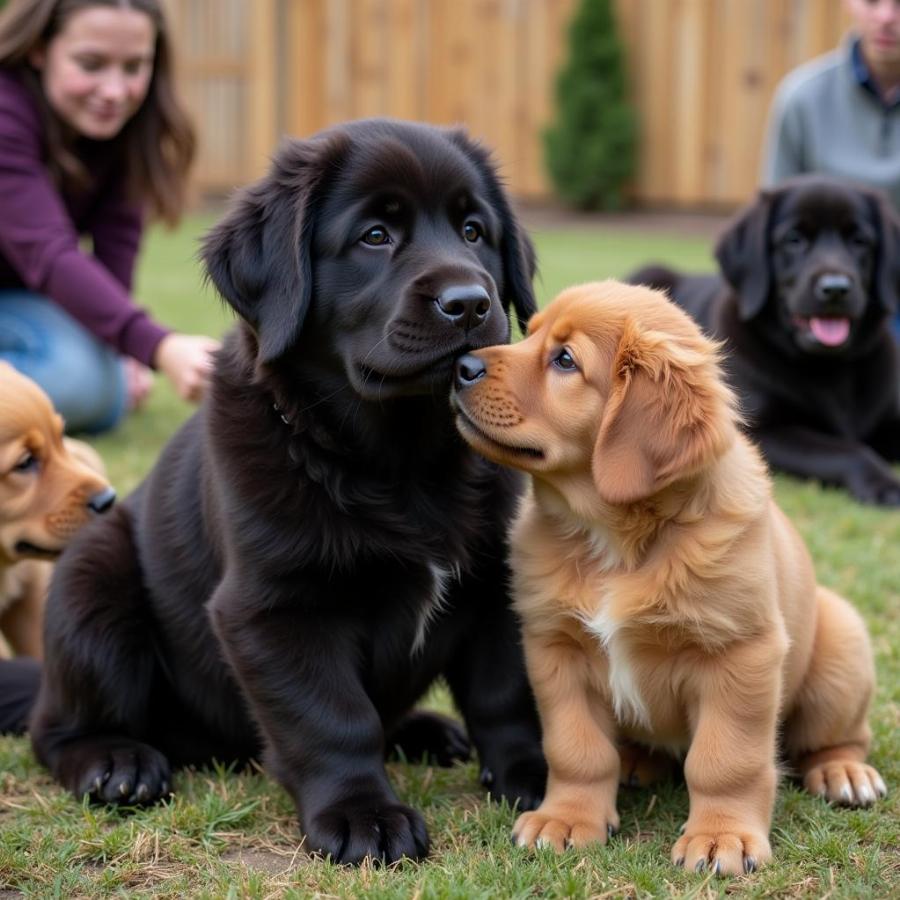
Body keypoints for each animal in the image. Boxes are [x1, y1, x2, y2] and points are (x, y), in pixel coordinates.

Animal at [29, 119, 548, 864]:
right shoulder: (274, 609)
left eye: (475, 231)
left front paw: (538, 779)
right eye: (374, 236)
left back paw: (424, 729)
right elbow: (331, 718)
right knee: (52, 728)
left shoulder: (497, 584)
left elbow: (506, 695)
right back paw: (115, 761)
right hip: (90, 582)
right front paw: (363, 814)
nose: (471, 303)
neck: (403, 461)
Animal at [454, 284, 884, 880]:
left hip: (840, 647)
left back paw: (844, 772)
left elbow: (725, 760)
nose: (461, 366)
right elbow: (575, 749)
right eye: (529, 332)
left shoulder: (739, 655)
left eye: (564, 360)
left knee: (840, 737)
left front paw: (722, 836)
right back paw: (636, 760)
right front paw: (566, 818)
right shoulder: (556, 648)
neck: (617, 543)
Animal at [628, 172, 900, 502]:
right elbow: (847, 450)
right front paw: (884, 484)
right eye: (793, 239)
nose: (835, 289)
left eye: (860, 241)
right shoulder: (762, 431)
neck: (832, 369)